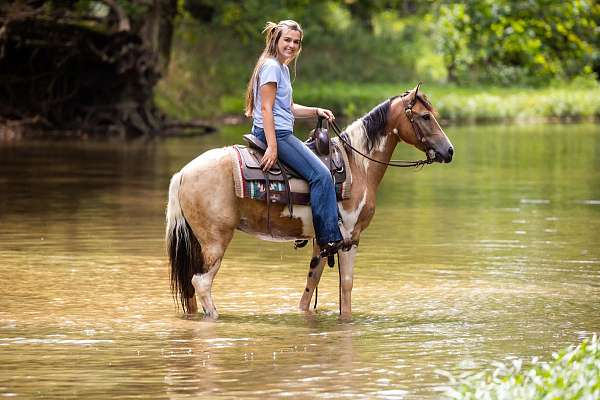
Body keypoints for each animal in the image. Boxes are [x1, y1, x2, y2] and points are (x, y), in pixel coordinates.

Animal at [165, 83, 454, 320]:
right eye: (426, 116)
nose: (449, 151)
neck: (358, 165)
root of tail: (183, 173)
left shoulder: (323, 240)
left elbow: (310, 287)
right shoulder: (350, 239)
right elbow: (347, 287)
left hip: (196, 242)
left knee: (189, 288)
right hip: (215, 240)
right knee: (202, 283)